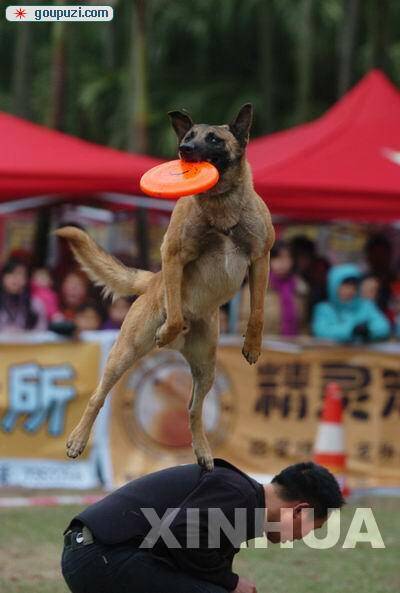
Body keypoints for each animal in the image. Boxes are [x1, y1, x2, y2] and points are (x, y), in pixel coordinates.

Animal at [55, 104, 276, 470]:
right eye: (189, 136)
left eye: (213, 138)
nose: (184, 150)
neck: (220, 204)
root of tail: (152, 281)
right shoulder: (173, 256)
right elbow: (173, 313)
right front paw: (168, 329)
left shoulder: (260, 258)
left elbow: (257, 310)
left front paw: (253, 345)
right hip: (124, 352)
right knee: (98, 396)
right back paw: (77, 440)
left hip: (206, 368)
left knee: (193, 410)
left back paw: (202, 451)